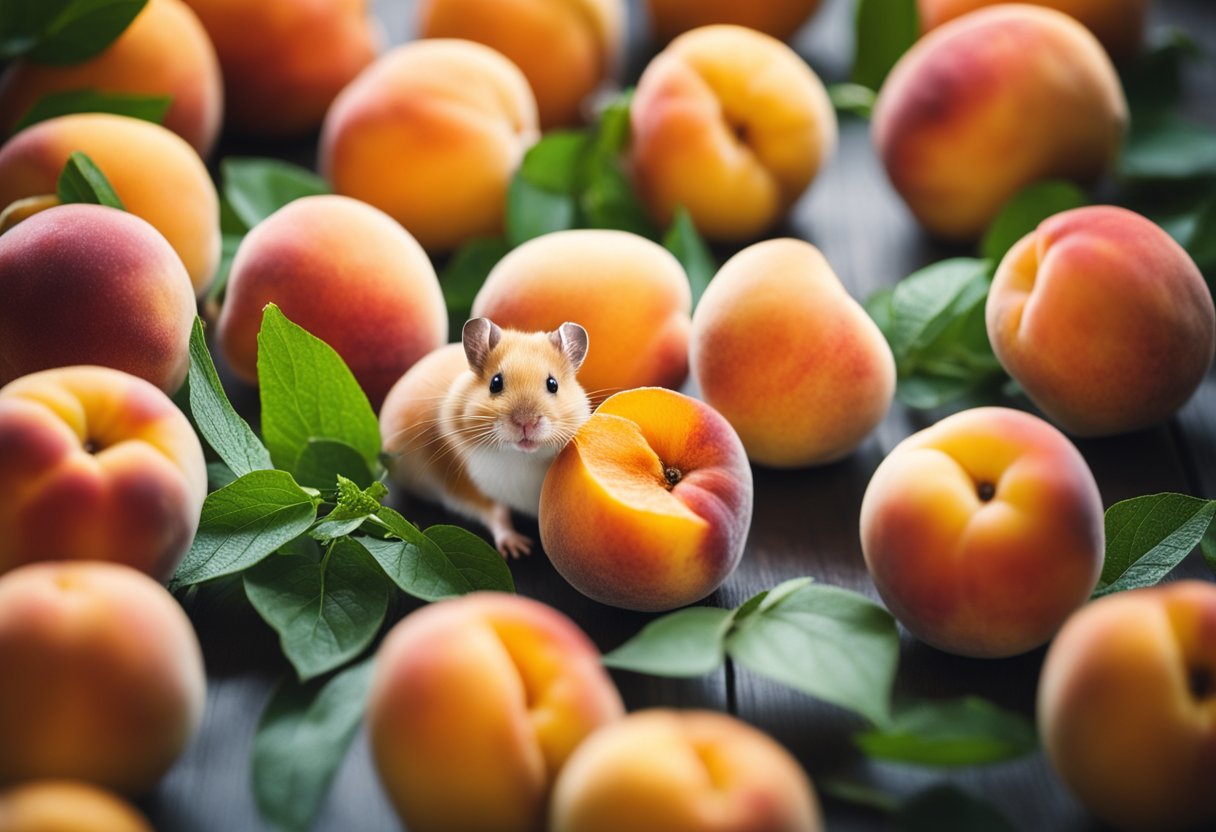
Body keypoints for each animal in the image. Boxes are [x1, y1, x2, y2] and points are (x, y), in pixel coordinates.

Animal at [380, 317, 591, 558]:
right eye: (496, 383)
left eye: (553, 384)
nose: (526, 422)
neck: (522, 457)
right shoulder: (467, 485)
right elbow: (496, 513)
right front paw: (518, 549)